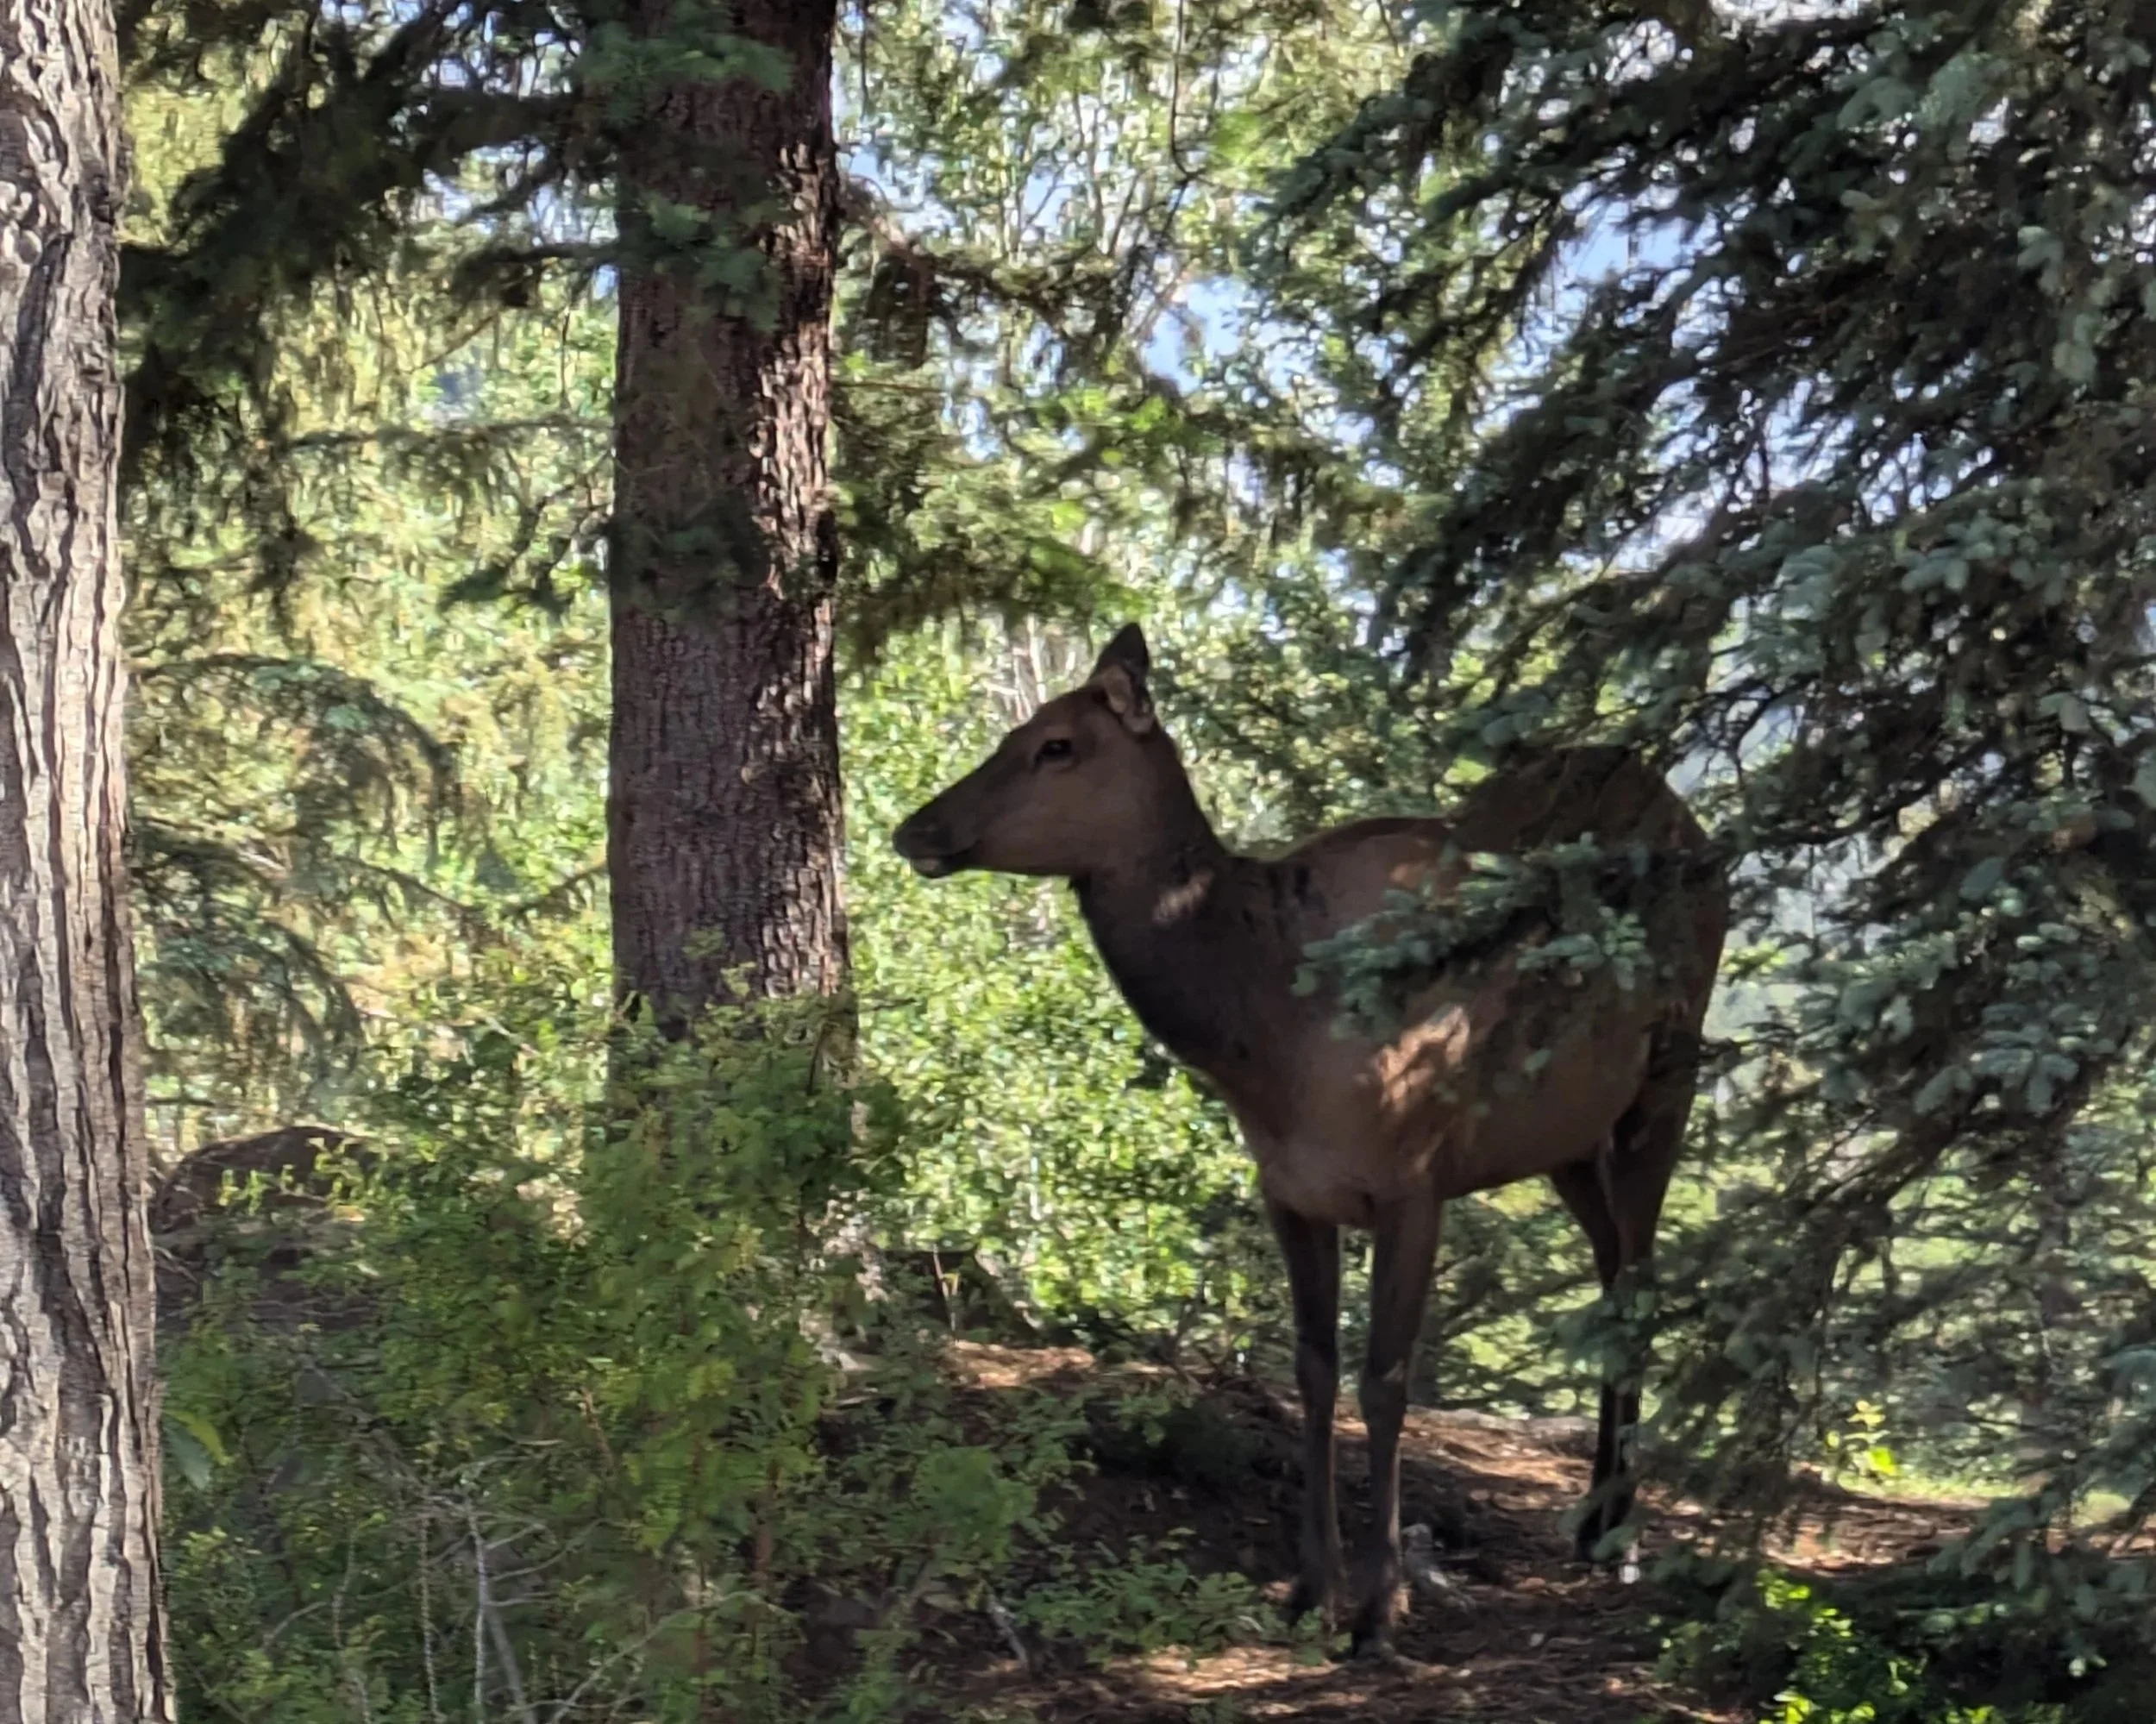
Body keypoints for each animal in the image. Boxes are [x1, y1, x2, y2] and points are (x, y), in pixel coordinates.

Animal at [891, 624, 1728, 1663]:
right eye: (1016, 731)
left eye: (1056, 745)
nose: (915, 829)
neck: (1266, 1041)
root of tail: (1694, 826)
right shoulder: (1290, 1190)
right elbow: (1313, 1371)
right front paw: (1307, 1588)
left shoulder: (1415, 1183)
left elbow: (1386, 1379)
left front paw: (1380, 1607)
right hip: (1566, 1136)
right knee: (1613, 1269)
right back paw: (1588, 1519)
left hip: (1669, 1074)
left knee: (1643, 1277)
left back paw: (1622, 1534)